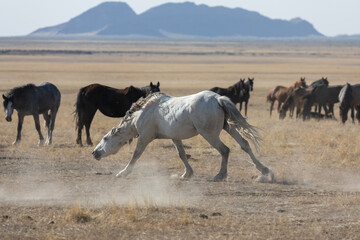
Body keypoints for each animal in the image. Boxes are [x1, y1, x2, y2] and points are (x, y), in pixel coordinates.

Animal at [92, 90, 272, 182]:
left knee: (225, 150)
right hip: (229, 127)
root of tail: (218, 99)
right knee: (244, 144)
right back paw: (265, 170)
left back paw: (220, 175)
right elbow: (182, 154)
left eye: (105, 139)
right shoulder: (175, 137)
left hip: (210, 134)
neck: (141, 113)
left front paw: (123, 172)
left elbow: (135, 155)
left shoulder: (144, 137)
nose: (94, 153)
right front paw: (187, 174)